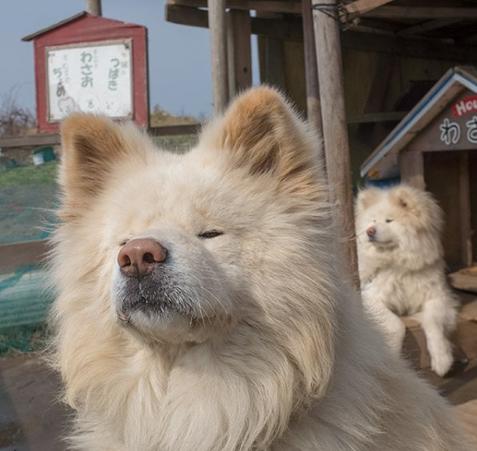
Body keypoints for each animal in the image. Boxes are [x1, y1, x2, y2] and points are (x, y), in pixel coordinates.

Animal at [356, 185, 456, 378]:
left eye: (389, 220)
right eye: (372, 220)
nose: (369, 231)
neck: (399, 266)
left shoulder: (437, 298)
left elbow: (434, 324)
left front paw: (442, 360)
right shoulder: (369, 297)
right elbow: (396, 325)